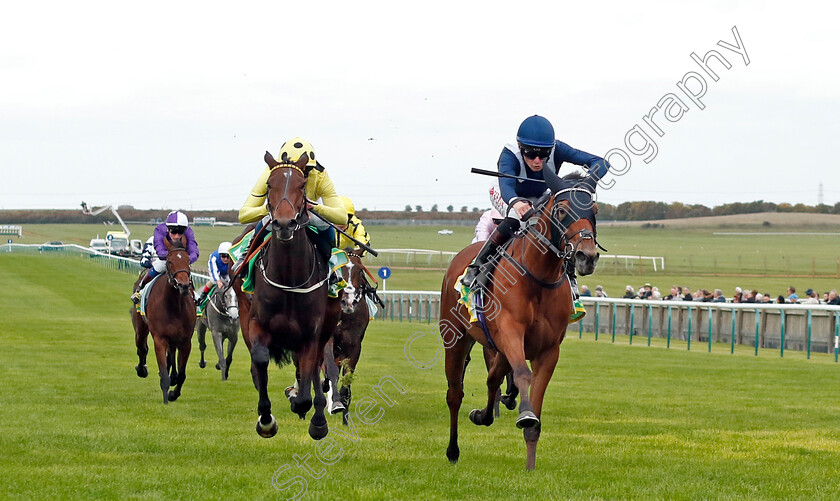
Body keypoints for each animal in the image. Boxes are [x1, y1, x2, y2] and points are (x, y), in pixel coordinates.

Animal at [131, 237, 197, 402]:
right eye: (169, 261)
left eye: (188, 260)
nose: (183, 285)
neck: (174, 306)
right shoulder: (159, 339)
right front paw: (167, 389)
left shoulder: (186, 341)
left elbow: (182, 373)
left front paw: (174, 393)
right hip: (140, 328)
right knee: (142, 348)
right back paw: (142, 369)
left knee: (171, 352)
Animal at [231, 151, 340, 438]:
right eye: (270, 184)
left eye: (301, 186)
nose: (283, 223)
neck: (290, 279)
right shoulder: (256, 323)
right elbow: (260, 359)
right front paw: (266, 419)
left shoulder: (311, 333)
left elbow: (309, 376)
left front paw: (311, 413)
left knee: (315, 366)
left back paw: (317, 412)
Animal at [442, 169, 600, 468]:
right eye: (562, 210)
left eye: (594, 210)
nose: (587, 256)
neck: (539, 277)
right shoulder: (511, 332)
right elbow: (523, 375)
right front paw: (525, 414)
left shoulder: (548, 350)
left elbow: (533, 399)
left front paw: (530, 466)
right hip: (455, 340)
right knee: (455, 394)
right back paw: (453, 450)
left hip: (497, 346)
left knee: (492, 379)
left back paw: (483, 415)